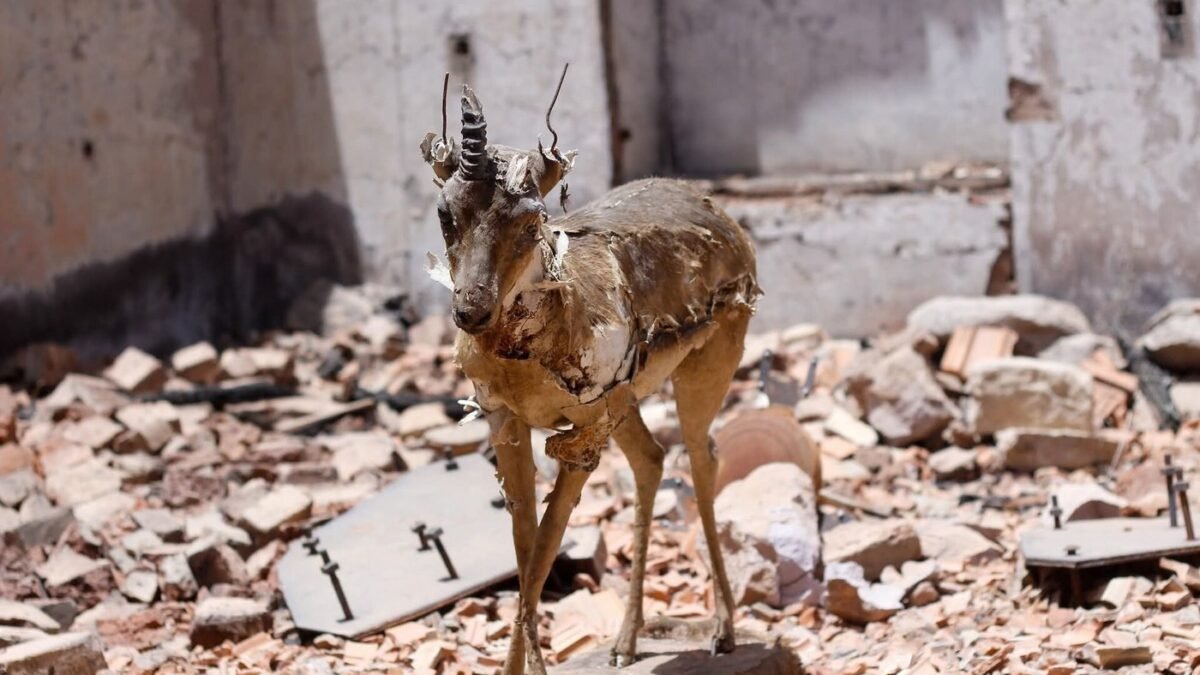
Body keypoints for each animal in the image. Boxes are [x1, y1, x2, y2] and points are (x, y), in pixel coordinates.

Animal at [419, 70, 759, 674]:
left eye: (532, 216)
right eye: (445, 212)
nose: (471, 311)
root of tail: (713, 209)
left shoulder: (580, 442)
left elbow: (545, 547)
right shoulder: (505, 423)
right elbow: (525, 545)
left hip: (702, 376)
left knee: (703, 458)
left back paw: (722, 632)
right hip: (625, 407)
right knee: (651, 460)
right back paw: (625, 643)